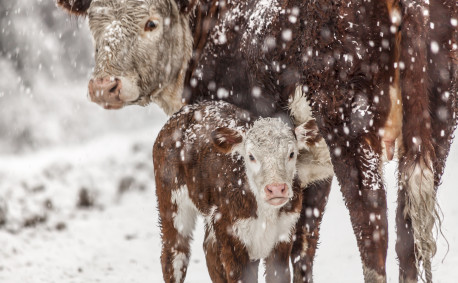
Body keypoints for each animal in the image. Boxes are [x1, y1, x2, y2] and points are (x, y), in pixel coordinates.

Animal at [152, 101, 320, 282]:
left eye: (292, 154)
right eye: (251, 156)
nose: (275, 188)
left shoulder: (284, 233)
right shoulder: (232, 236)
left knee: (210, 251)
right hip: (171, 200)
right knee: (175, 253)